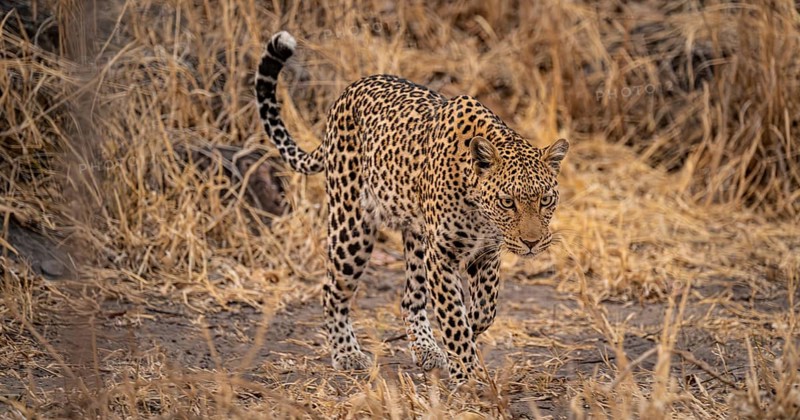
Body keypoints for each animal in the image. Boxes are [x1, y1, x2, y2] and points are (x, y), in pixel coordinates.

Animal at [255, 31, 569, 382]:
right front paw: (466, 374)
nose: (531, 243)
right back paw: (348, 354)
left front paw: (467, 334)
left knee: (410, 299)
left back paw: (427, 350)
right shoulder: (442, 255)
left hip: (416, 239)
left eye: (546, 199)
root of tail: (347, 92)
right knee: (332, 290)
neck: (479, 209)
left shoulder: (487, 252)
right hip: (353, 228)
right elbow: (453, 316)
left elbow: (486, 308)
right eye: (507, 202)